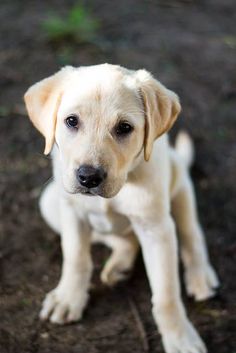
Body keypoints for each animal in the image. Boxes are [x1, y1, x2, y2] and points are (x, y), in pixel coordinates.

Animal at [24, 63, 219, 352]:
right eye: (71, 121)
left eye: (124, 128)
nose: (88, 177)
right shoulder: (72, 212)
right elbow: (76, 259)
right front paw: (68, 298)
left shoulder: (156, 229)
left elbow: (166, 293)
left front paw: (180, 337)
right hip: (49, 202)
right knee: (124, 239)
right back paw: (119, 266)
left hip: (180, 185)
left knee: (191, 233)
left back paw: (200, 275)